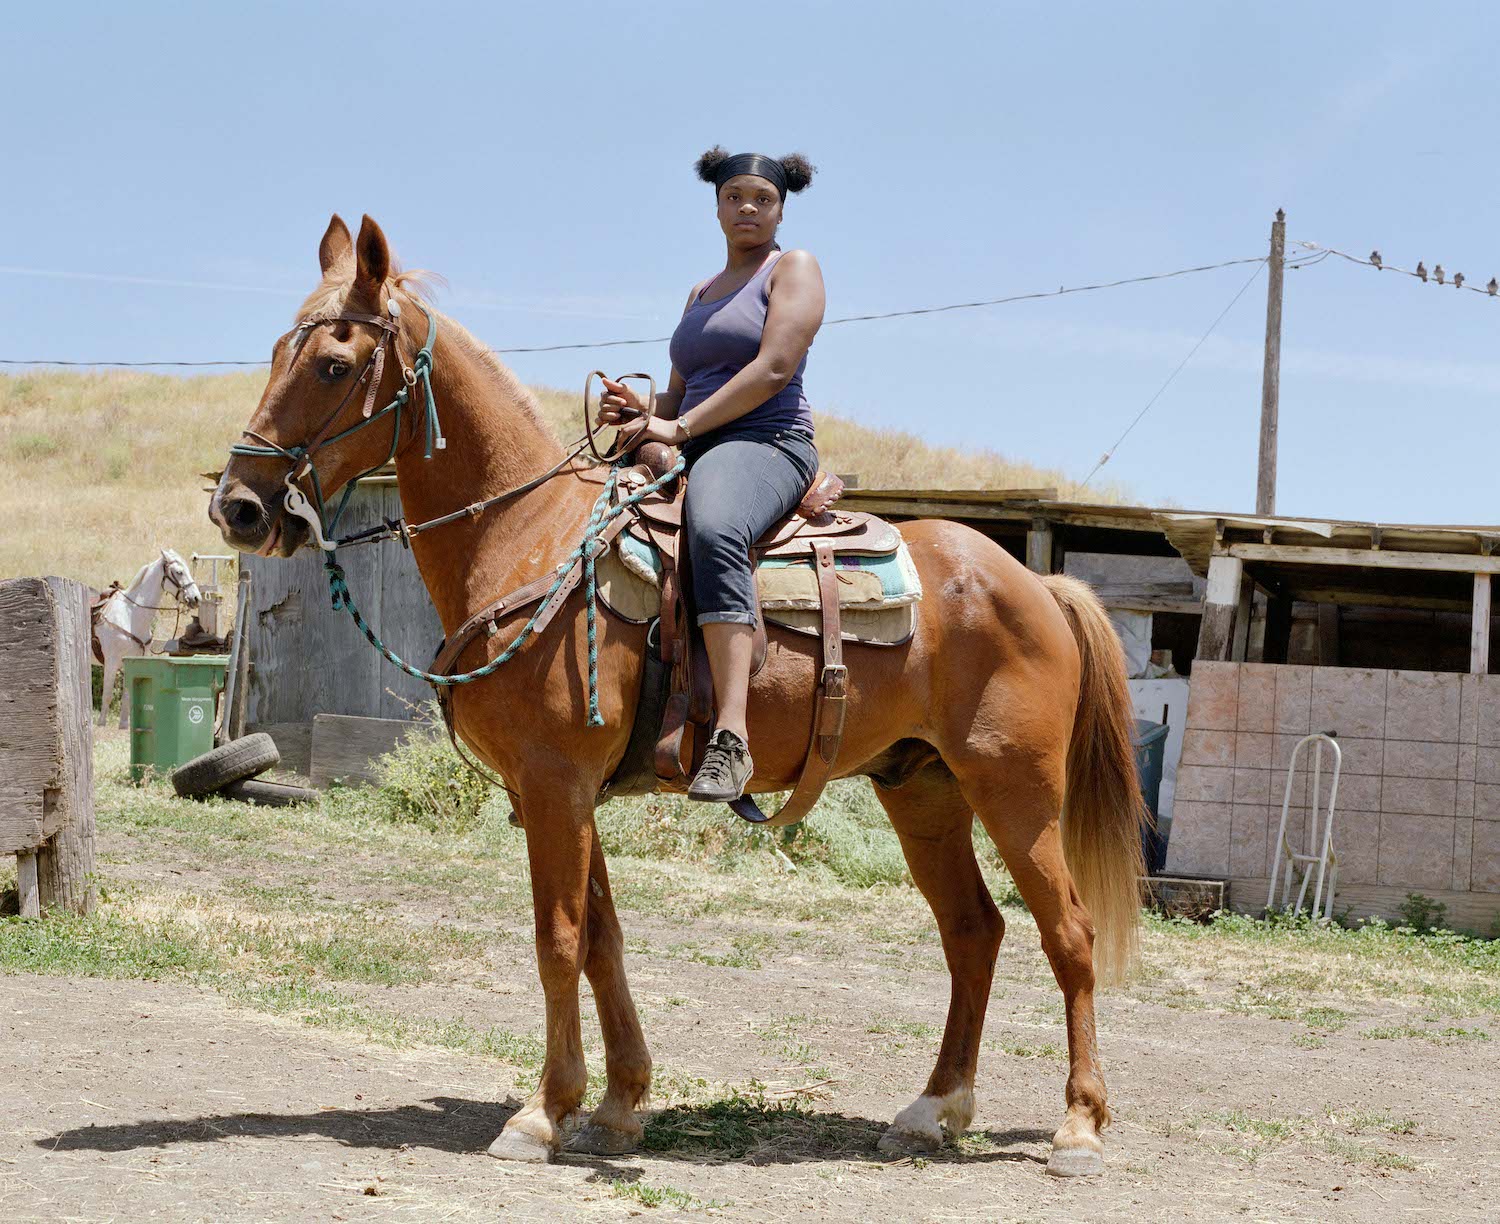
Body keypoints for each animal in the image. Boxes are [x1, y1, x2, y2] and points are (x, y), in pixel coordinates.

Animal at [211, 217, 1140, 1176]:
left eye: (332, 364)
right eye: (277, 350)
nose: (238, 507)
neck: (528, 536)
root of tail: (1035, 584)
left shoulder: (555, 784)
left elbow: (558, 942)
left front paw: (541, 1114)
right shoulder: (559, 793)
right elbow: (603, 942)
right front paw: (619, 1104)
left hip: (1015, 788)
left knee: (1069, 934)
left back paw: (1079, 1125)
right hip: (922, 790)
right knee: (973, 931)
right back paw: (932, 1109)